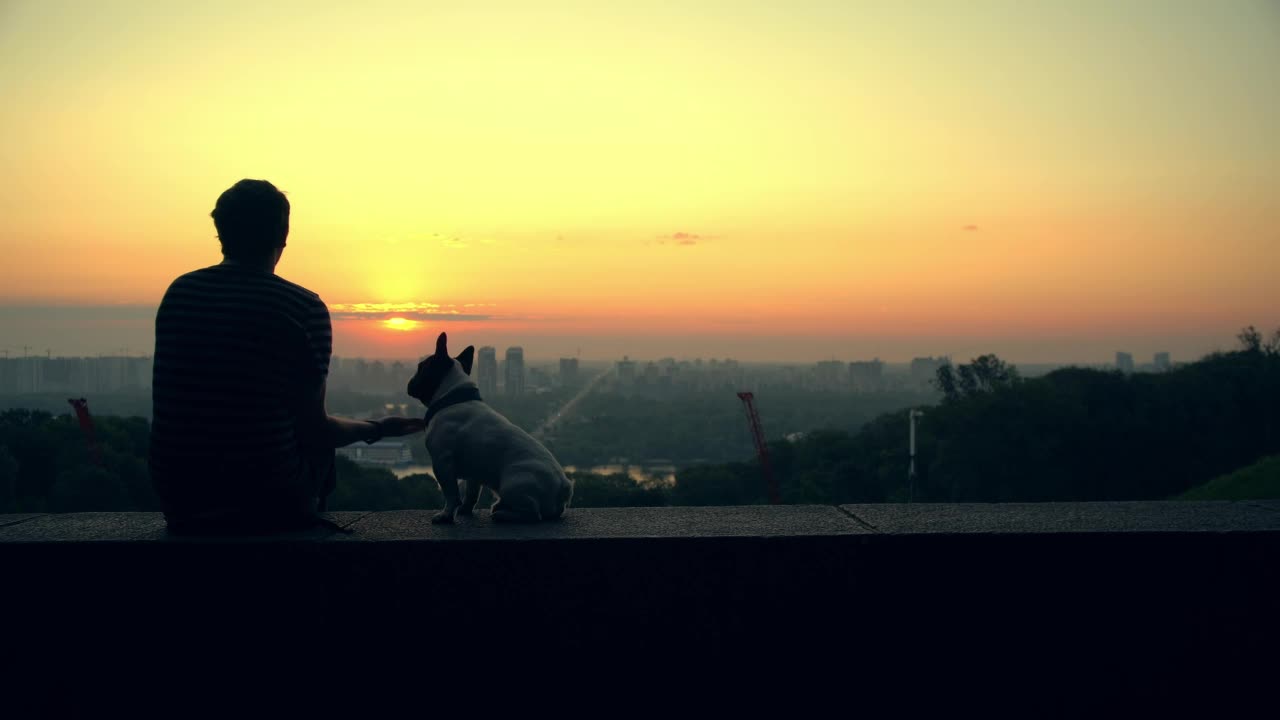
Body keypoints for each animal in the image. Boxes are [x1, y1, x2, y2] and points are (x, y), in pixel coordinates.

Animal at [407, 330, 573, 520]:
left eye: (421, 368)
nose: (410, 381)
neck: (453, 399)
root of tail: (563, 487)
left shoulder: (442, 463)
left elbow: (451, 495)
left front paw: (446, 515)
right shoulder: (473, 470)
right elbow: (471, 493)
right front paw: (465, 510)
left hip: (511, 483)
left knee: (533, 512)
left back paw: (503, 514)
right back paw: (500, 506)